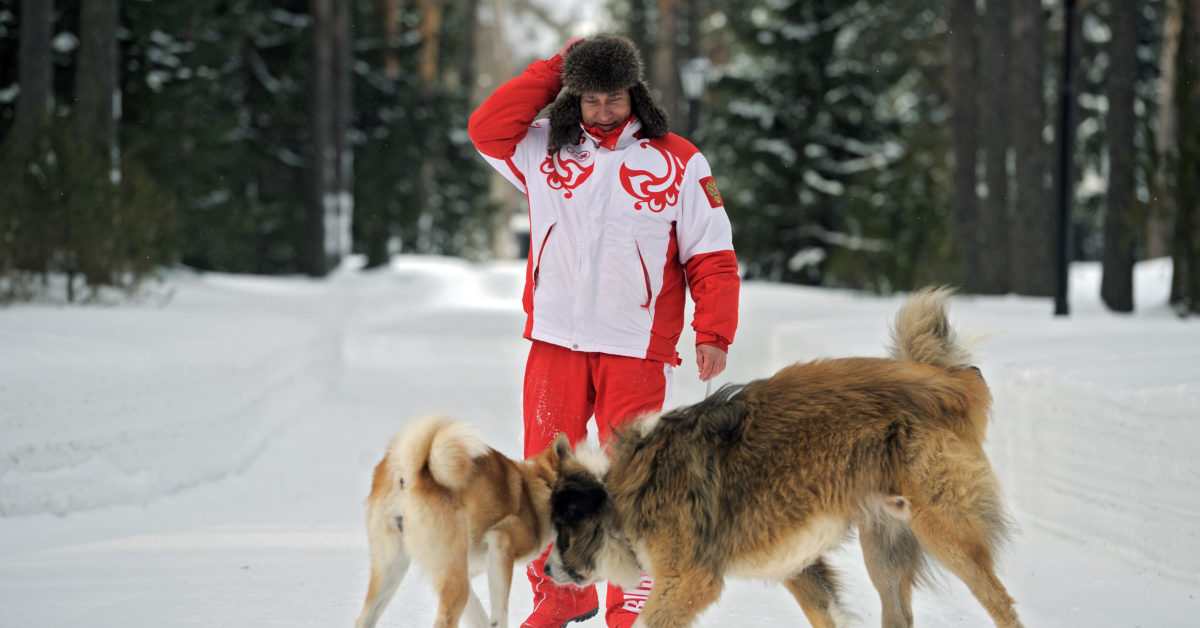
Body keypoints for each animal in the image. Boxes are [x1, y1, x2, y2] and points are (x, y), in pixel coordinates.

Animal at [352, 415, 568, 628]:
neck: (542, 484)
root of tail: (411, 472)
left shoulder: (472, 570)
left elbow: (478, 614)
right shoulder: (501, 544)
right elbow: (499, 613)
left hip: (391, 568)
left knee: (364, 618)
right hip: (453, 575)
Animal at [544, 286, 1022, 624]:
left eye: (563, 531)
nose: (547, 571)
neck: (623, 490)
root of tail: (947, 380)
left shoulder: (689, 580)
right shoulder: (799, 566)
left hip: (943, 527)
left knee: (1000, 601)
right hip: (884, 540)